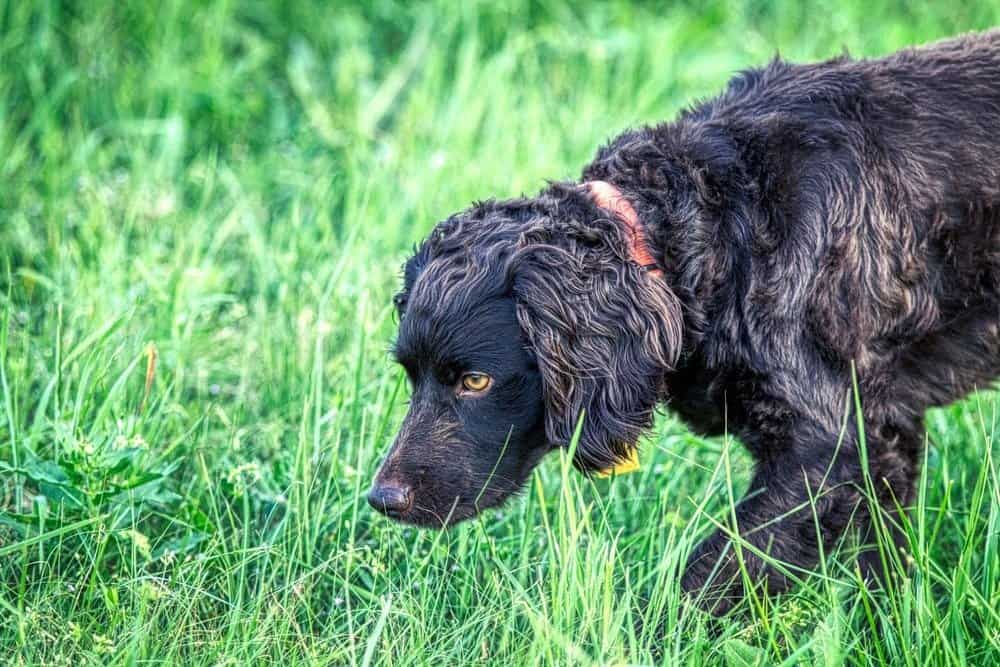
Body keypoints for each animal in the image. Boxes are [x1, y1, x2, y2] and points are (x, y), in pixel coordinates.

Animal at [368, 32, 1000, 616]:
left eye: (476, 381)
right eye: (410, 376)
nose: (381, 499)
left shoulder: (832, 448)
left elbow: (711, 573)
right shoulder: (886, 434)